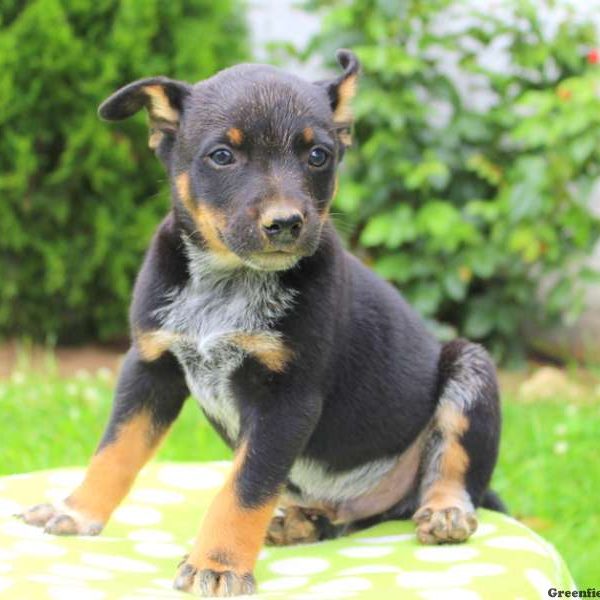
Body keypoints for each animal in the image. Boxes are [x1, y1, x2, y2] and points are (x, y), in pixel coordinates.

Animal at [18, 50, 502, 596]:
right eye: (222, 156)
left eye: (319, 156)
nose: (286, 222)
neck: (229, 281)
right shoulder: (150, 366)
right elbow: (116, 449)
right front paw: (76, 512)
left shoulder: (285, 400)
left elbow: (244, 489)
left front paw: (217, 564)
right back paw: (300, 523)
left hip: (469, 365)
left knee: (455, 469)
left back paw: (444, 512)